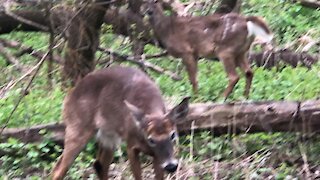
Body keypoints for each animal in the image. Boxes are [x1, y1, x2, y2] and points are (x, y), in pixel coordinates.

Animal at [50, 65, 190, 179]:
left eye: (173, 134)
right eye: (151, 139)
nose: (171, 166)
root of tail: (68, 97)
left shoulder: (157, 155)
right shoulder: (131, 146)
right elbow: (138, 176)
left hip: (108, 136)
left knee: (99, 164)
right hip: (77, 127)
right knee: (58, 169)